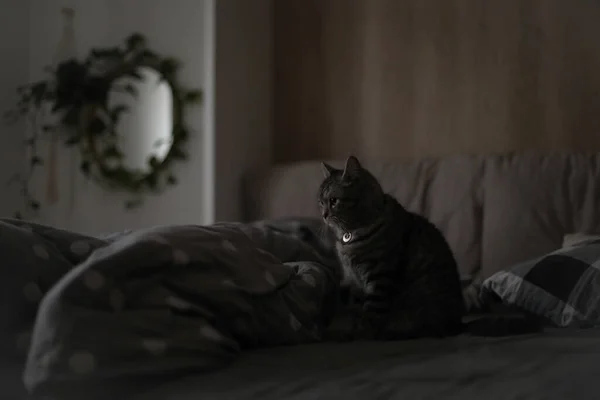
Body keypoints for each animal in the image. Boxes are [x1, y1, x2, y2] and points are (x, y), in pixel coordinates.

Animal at [318, 155, 464, 340]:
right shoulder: (354, 282)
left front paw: (360, 334)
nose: (323, 215)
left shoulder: (380, 276)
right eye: (321, 202)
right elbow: (355, 308)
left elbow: (371, 314)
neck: (351, 235)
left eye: (333, 201)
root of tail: (457, 324)